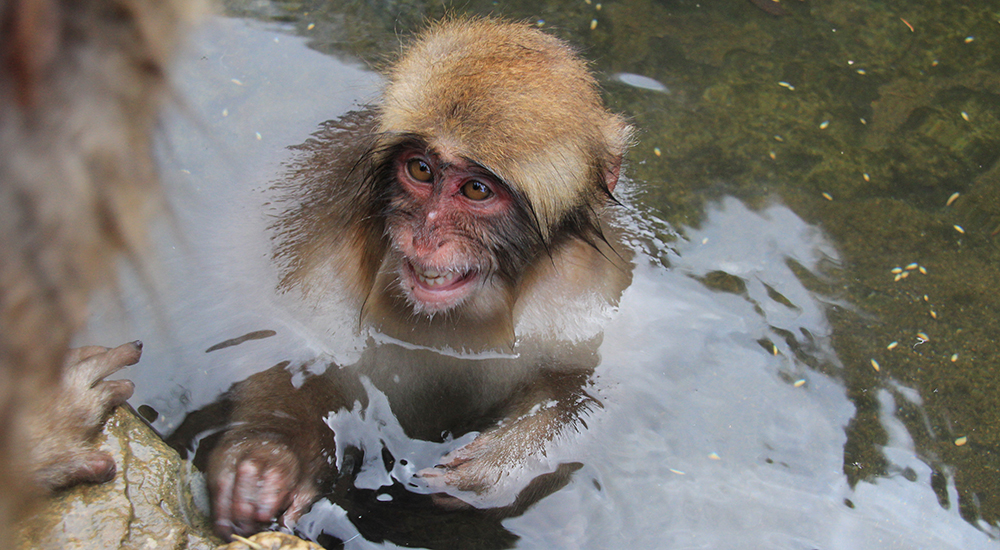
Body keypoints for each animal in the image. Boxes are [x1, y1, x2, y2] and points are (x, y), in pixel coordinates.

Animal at [199, 17, 634, 540]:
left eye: (476, 189)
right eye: (420, 169)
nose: (425, 234)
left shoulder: (582, 287)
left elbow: (578, 387)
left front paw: (498, 469)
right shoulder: (322, 257)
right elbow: (292, 349)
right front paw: (267, 459)